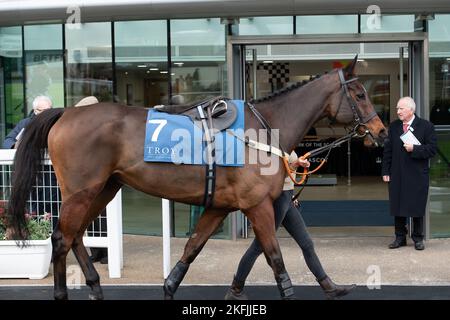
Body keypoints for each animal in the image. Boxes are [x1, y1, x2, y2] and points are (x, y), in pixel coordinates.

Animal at [7, 57, 386, 300]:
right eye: (360, 94)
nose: (381, 132)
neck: (262, 129)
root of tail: (66, 113)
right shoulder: (257, 205)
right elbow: (274, 254)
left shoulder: (219, 206)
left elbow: (192, 247)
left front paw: (170, 286)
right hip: (81, 190)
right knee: (61, 237)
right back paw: (62, 292)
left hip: (104, 188)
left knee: (76, 236)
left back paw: (97, 287)